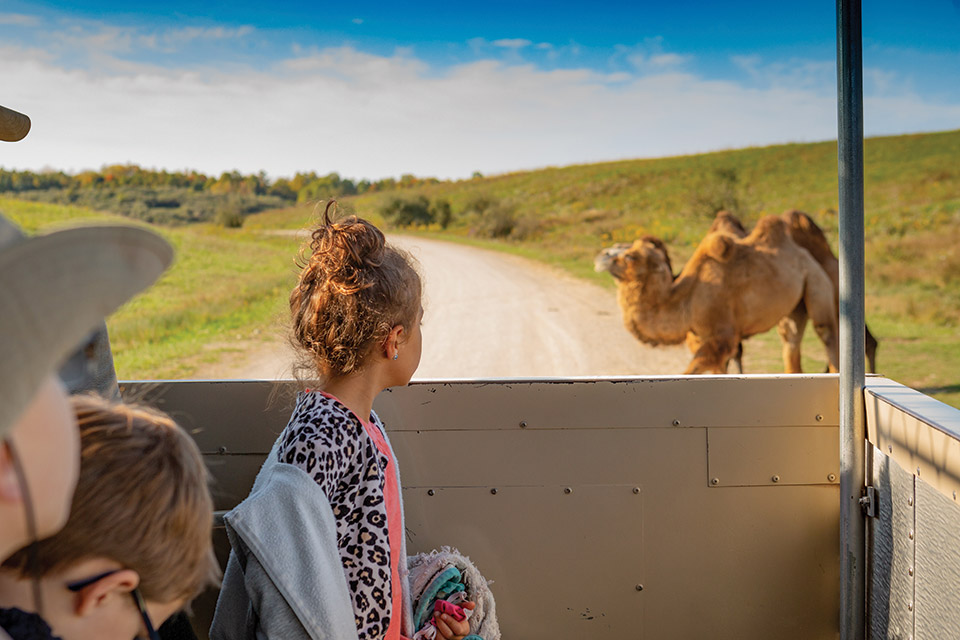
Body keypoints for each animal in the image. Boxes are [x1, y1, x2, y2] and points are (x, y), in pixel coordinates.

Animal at [594, 215, 840, 374]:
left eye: (631, 257)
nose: (600, 256)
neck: (688, 298)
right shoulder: (701, 338)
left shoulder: (722, 336)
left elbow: (692, 369)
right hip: (794, 305)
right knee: (791, 339)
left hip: (816, 279)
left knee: (826, 332)